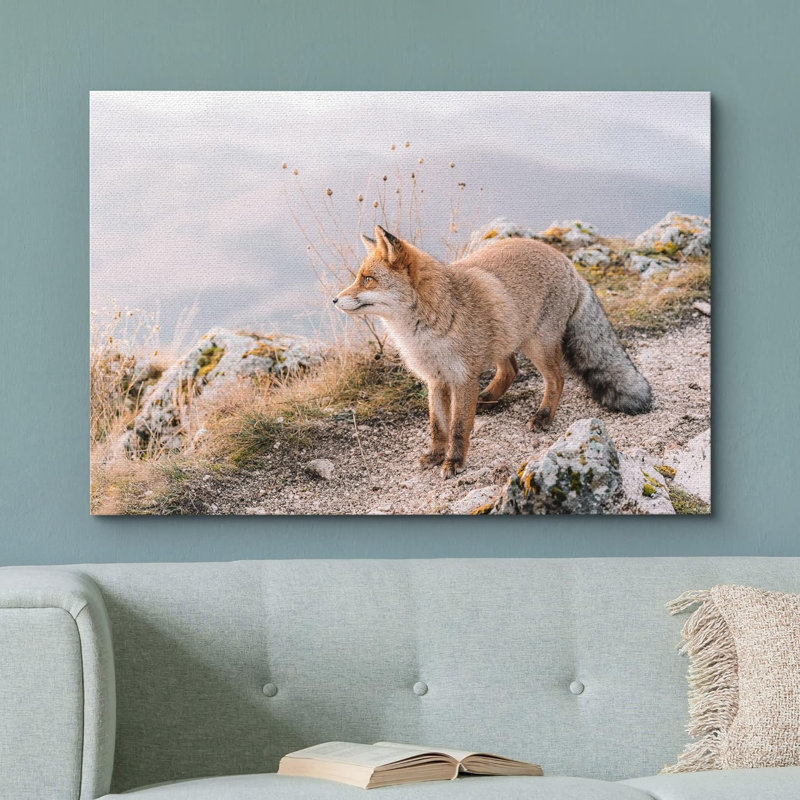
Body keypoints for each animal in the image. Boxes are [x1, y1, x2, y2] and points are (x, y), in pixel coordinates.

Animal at [334, 225, 651, 478]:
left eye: (367, 279)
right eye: (359, 277)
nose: (334, 300)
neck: (425, 331)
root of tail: (568, 263)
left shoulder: (462, 378)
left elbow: (459, 427)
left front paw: (454, 462)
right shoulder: (436, 380)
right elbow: (438, 426)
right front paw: (436, 456)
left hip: (536, 345)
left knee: (557, 379)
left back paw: (543, 416)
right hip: (505, 338)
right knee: (511, 369)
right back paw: (488, 398)